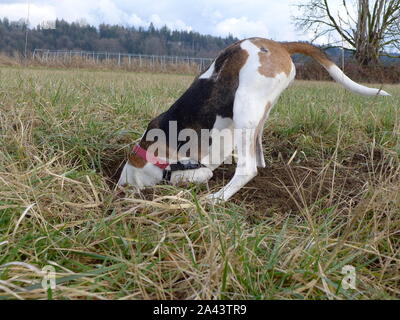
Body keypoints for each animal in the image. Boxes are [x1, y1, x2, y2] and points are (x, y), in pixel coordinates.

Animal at [116, 38, 390, 202]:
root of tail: (278, 44)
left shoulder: (196, 172)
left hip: (244, 105)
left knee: (247, 169)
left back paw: (217, 198)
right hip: (259, 111)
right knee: (258, 157)